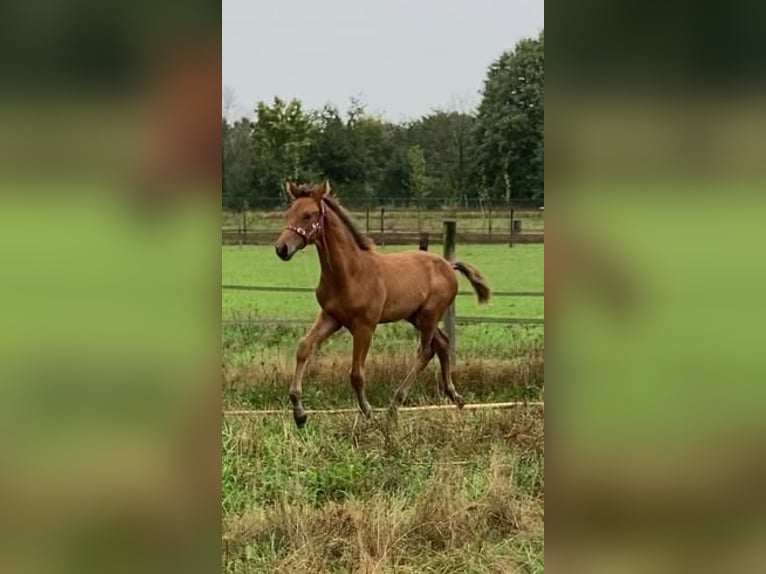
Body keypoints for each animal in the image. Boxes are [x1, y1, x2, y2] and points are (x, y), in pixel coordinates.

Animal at [276, 180, 492, 428]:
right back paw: (455, 397)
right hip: (416, 316)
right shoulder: (331, 317)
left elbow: (356, 374)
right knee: (443, 344)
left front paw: (369, 412)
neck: (350, 272)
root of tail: (449, 264)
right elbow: (303, 347)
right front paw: (299, 413)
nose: (281, 248)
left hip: (430, 314)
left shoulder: (365, 326)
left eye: (308, 215)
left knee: (426, 351)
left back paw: (394, 406)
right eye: (288, 214)